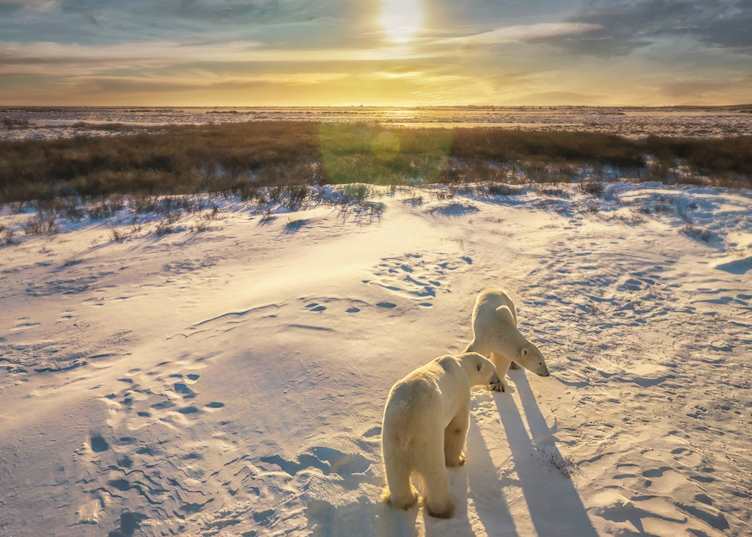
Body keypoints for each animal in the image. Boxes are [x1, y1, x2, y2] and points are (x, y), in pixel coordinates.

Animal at [381, 352, 499, 518]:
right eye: (492, 370)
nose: (497, 381)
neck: (461, 364)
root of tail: (407, 426)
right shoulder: (461, 394)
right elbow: (457, 427)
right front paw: (459, 460)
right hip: (427, 440)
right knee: (435, 475)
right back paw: (443, 509)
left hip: (391, 441)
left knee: (396, 474)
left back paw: (406, 500)